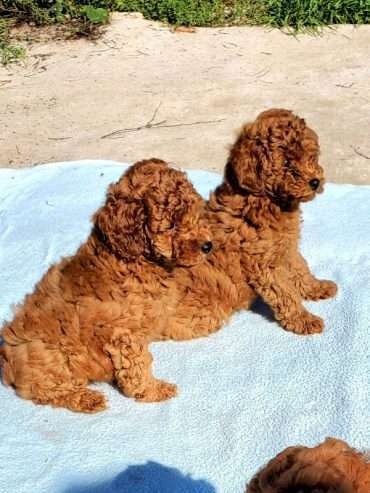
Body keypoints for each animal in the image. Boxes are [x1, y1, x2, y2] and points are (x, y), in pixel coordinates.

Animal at [0, 159, 214, 412]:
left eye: (194, 214)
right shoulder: (124, 334)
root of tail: (6, 360)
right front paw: (155, 390)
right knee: (44, 390)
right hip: (48, 355)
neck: (138, 261)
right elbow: (138, 367)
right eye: (171, 225)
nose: (208, 246)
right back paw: (87, 398)